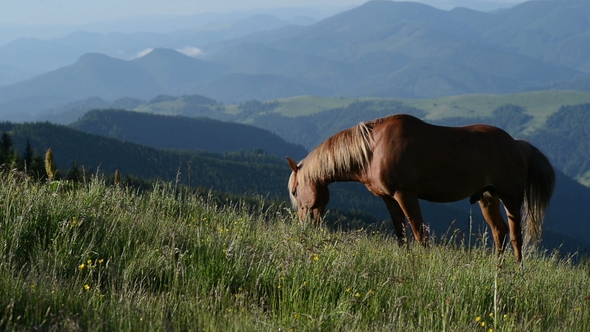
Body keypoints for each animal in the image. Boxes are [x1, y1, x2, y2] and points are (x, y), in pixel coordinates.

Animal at [290, 114, 556, 262]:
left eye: (294, 192)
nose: (303, 227)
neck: (373, 149)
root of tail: (517, 144)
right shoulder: (389, 198)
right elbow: (401, 233)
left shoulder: (405, 195)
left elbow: (420, 233)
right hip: (487, 198)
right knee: (499, 231)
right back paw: (497, 267)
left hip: (511, 198)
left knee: (515, 235)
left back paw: (517, 269)